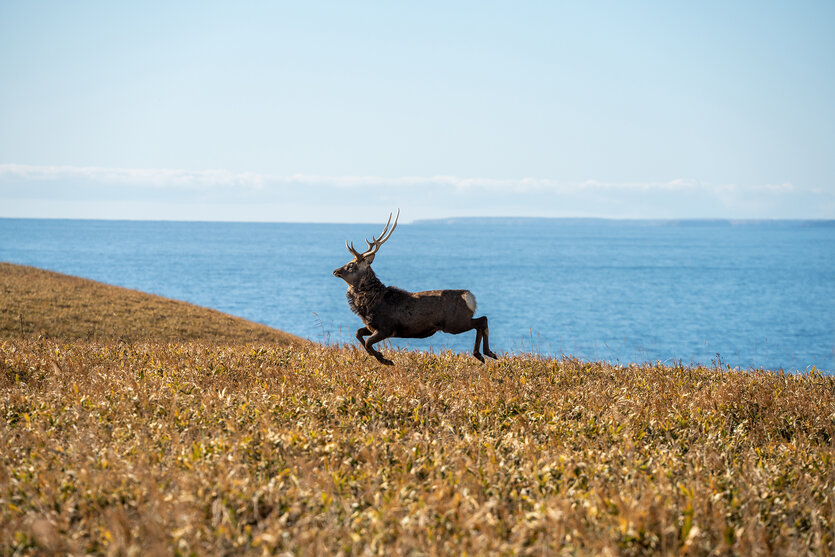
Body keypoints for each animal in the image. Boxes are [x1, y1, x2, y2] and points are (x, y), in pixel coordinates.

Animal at [332, 208, 500, 364]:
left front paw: (385, 360)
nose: (335, 271)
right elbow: (358, 334)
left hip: (454, 323)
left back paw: (483, 353)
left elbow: (367, 342)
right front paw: (378, 355)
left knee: (482, 320)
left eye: (351, 265)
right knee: (482, 320)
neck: (369, 304)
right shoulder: (372, 326)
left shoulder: (386, 327)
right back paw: (486, 354)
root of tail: (470, 297)